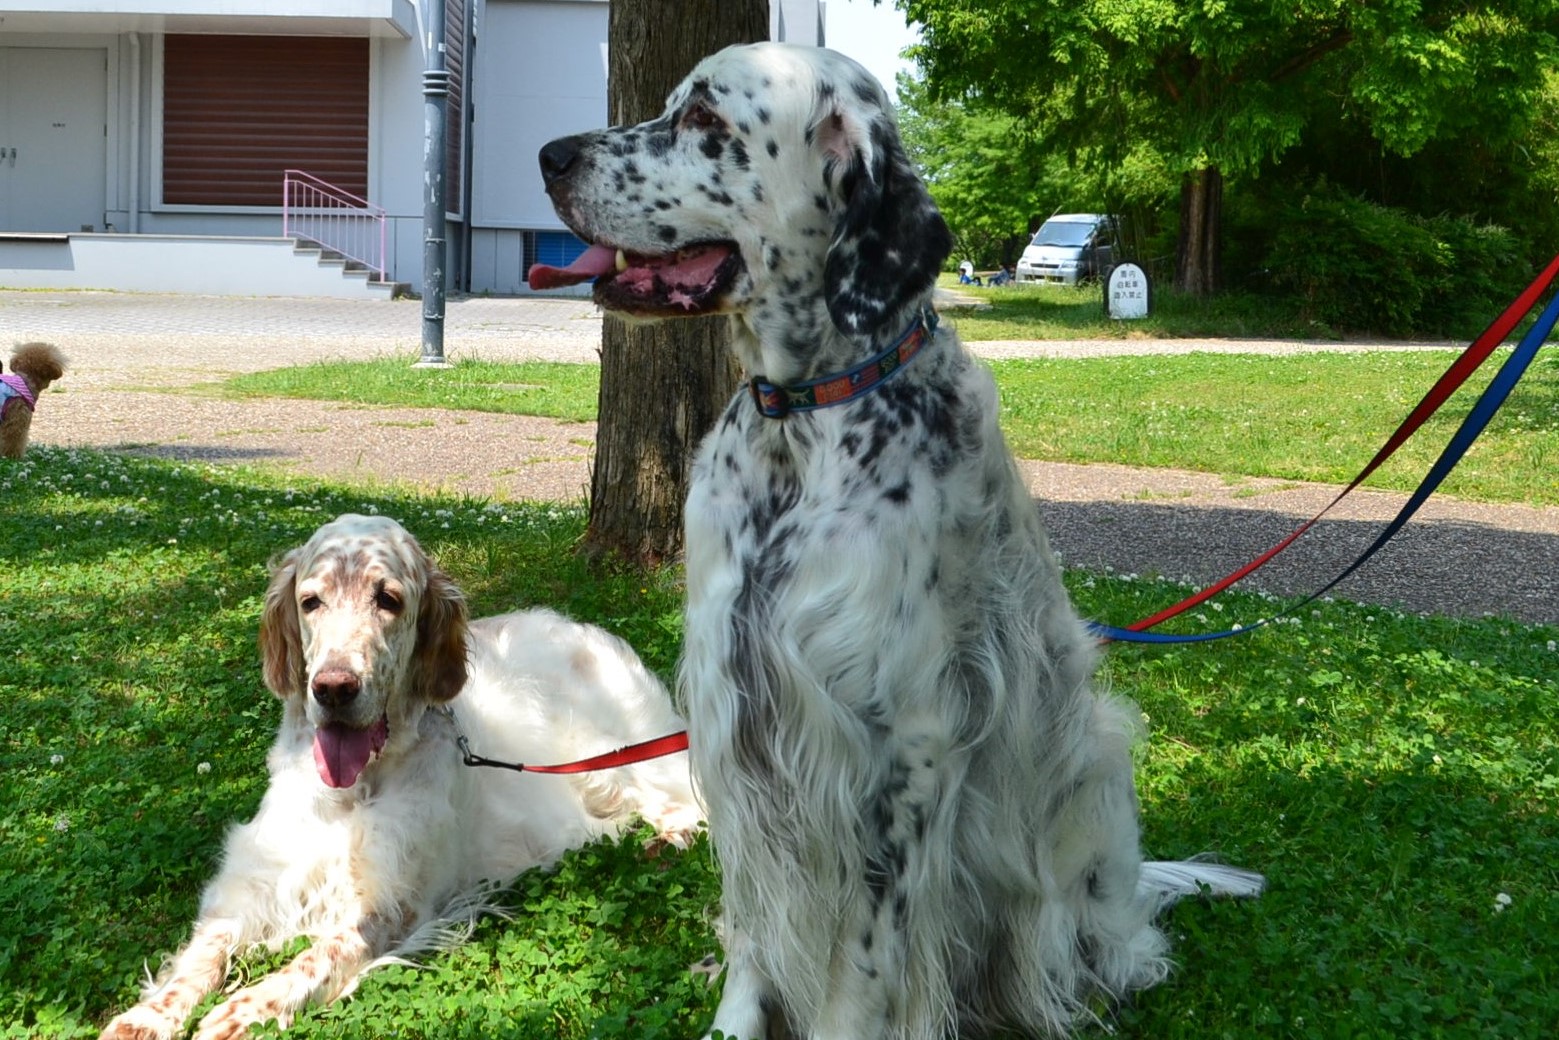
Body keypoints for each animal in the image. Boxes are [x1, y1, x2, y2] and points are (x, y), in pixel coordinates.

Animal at [98, 514, 701, 1040]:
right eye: (310, 602)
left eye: (388, 600)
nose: (333, 688)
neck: (353, 785)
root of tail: (587, 630)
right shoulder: (257, 877)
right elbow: (205, 952)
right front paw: (150, 1015)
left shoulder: (394, 902)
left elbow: (319, 955)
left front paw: (247, 1009)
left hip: (610, 755)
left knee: (684, 802)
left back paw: (668, 842)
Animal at [530, 42, 1259, 1040]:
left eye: (707, 120)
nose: (549, 156)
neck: (800, 431)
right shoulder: (735, 710)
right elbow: (756, 932)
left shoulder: (897, 744)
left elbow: (865, 968)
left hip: (1088, 797)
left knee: (1101, 947)